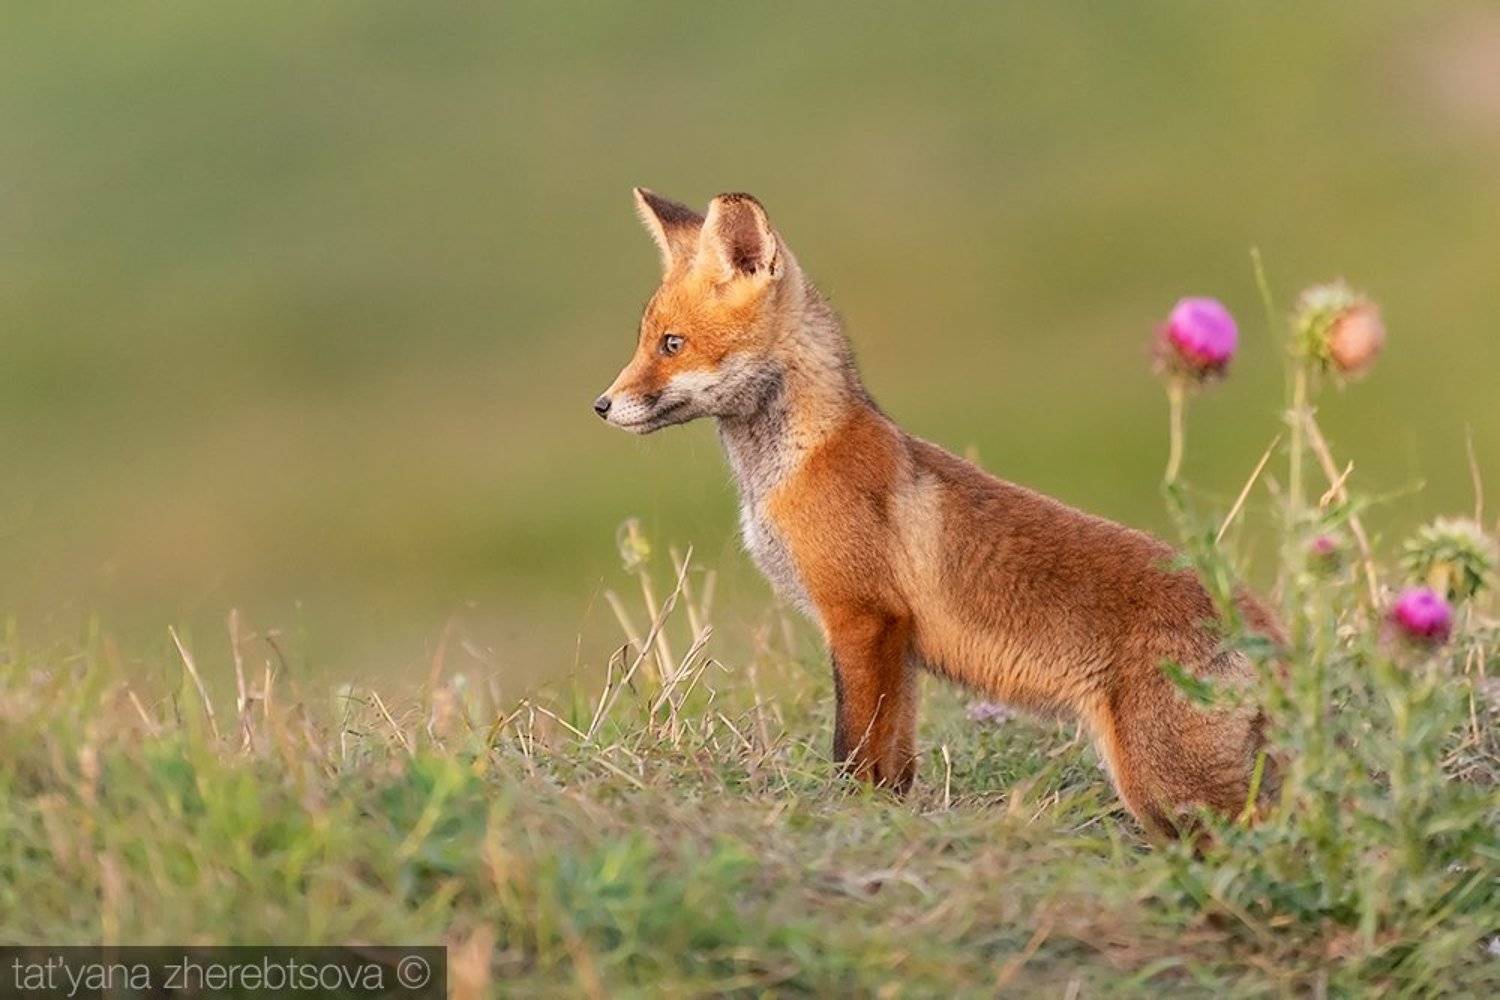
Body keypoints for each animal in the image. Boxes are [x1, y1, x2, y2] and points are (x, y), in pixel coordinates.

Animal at [594, 188, 1282, 836]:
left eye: (672, 344)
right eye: (644, 341)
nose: (601, 405)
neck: (797, 463)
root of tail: (1265, 624)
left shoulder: (862, 618)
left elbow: (851, 749)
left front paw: (847, 814)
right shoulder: (899, 642)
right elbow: (893, 763)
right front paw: (887, 815)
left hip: (1170, 792)